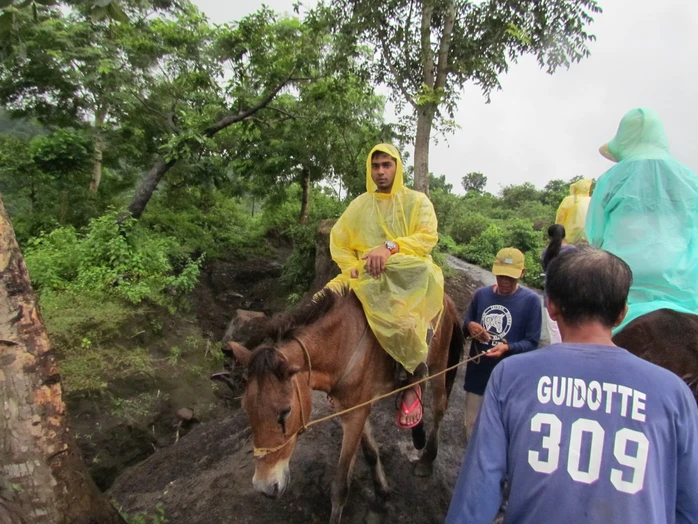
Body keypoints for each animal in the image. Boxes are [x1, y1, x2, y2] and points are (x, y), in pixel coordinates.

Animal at [220, 286, 464, 524]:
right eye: (246, 409)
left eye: (285, 412)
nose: (264, 487)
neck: (341, 346)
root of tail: (448, 300)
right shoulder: (354, 408)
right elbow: (370, 452)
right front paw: (382, 492)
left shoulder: (354, 416)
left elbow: (340, 487)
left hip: (440, 364)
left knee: (440, 408)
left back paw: (427, 459)